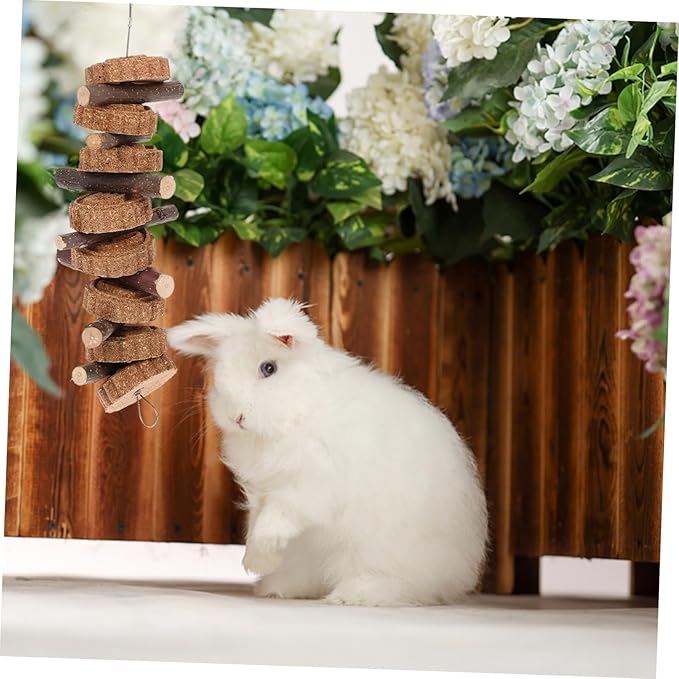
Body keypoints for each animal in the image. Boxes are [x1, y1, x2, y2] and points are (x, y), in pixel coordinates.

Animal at [167, 298, 488, 606]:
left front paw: (259, 557)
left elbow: (275, 518)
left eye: (268, 368)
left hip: (381, 550)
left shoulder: (309, 487)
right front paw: (260, 561)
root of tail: (454, 575)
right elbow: (258, 520)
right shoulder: (263, 490)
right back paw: (280, 588)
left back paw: (355, 594)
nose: (236, 416)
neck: (300, 411)